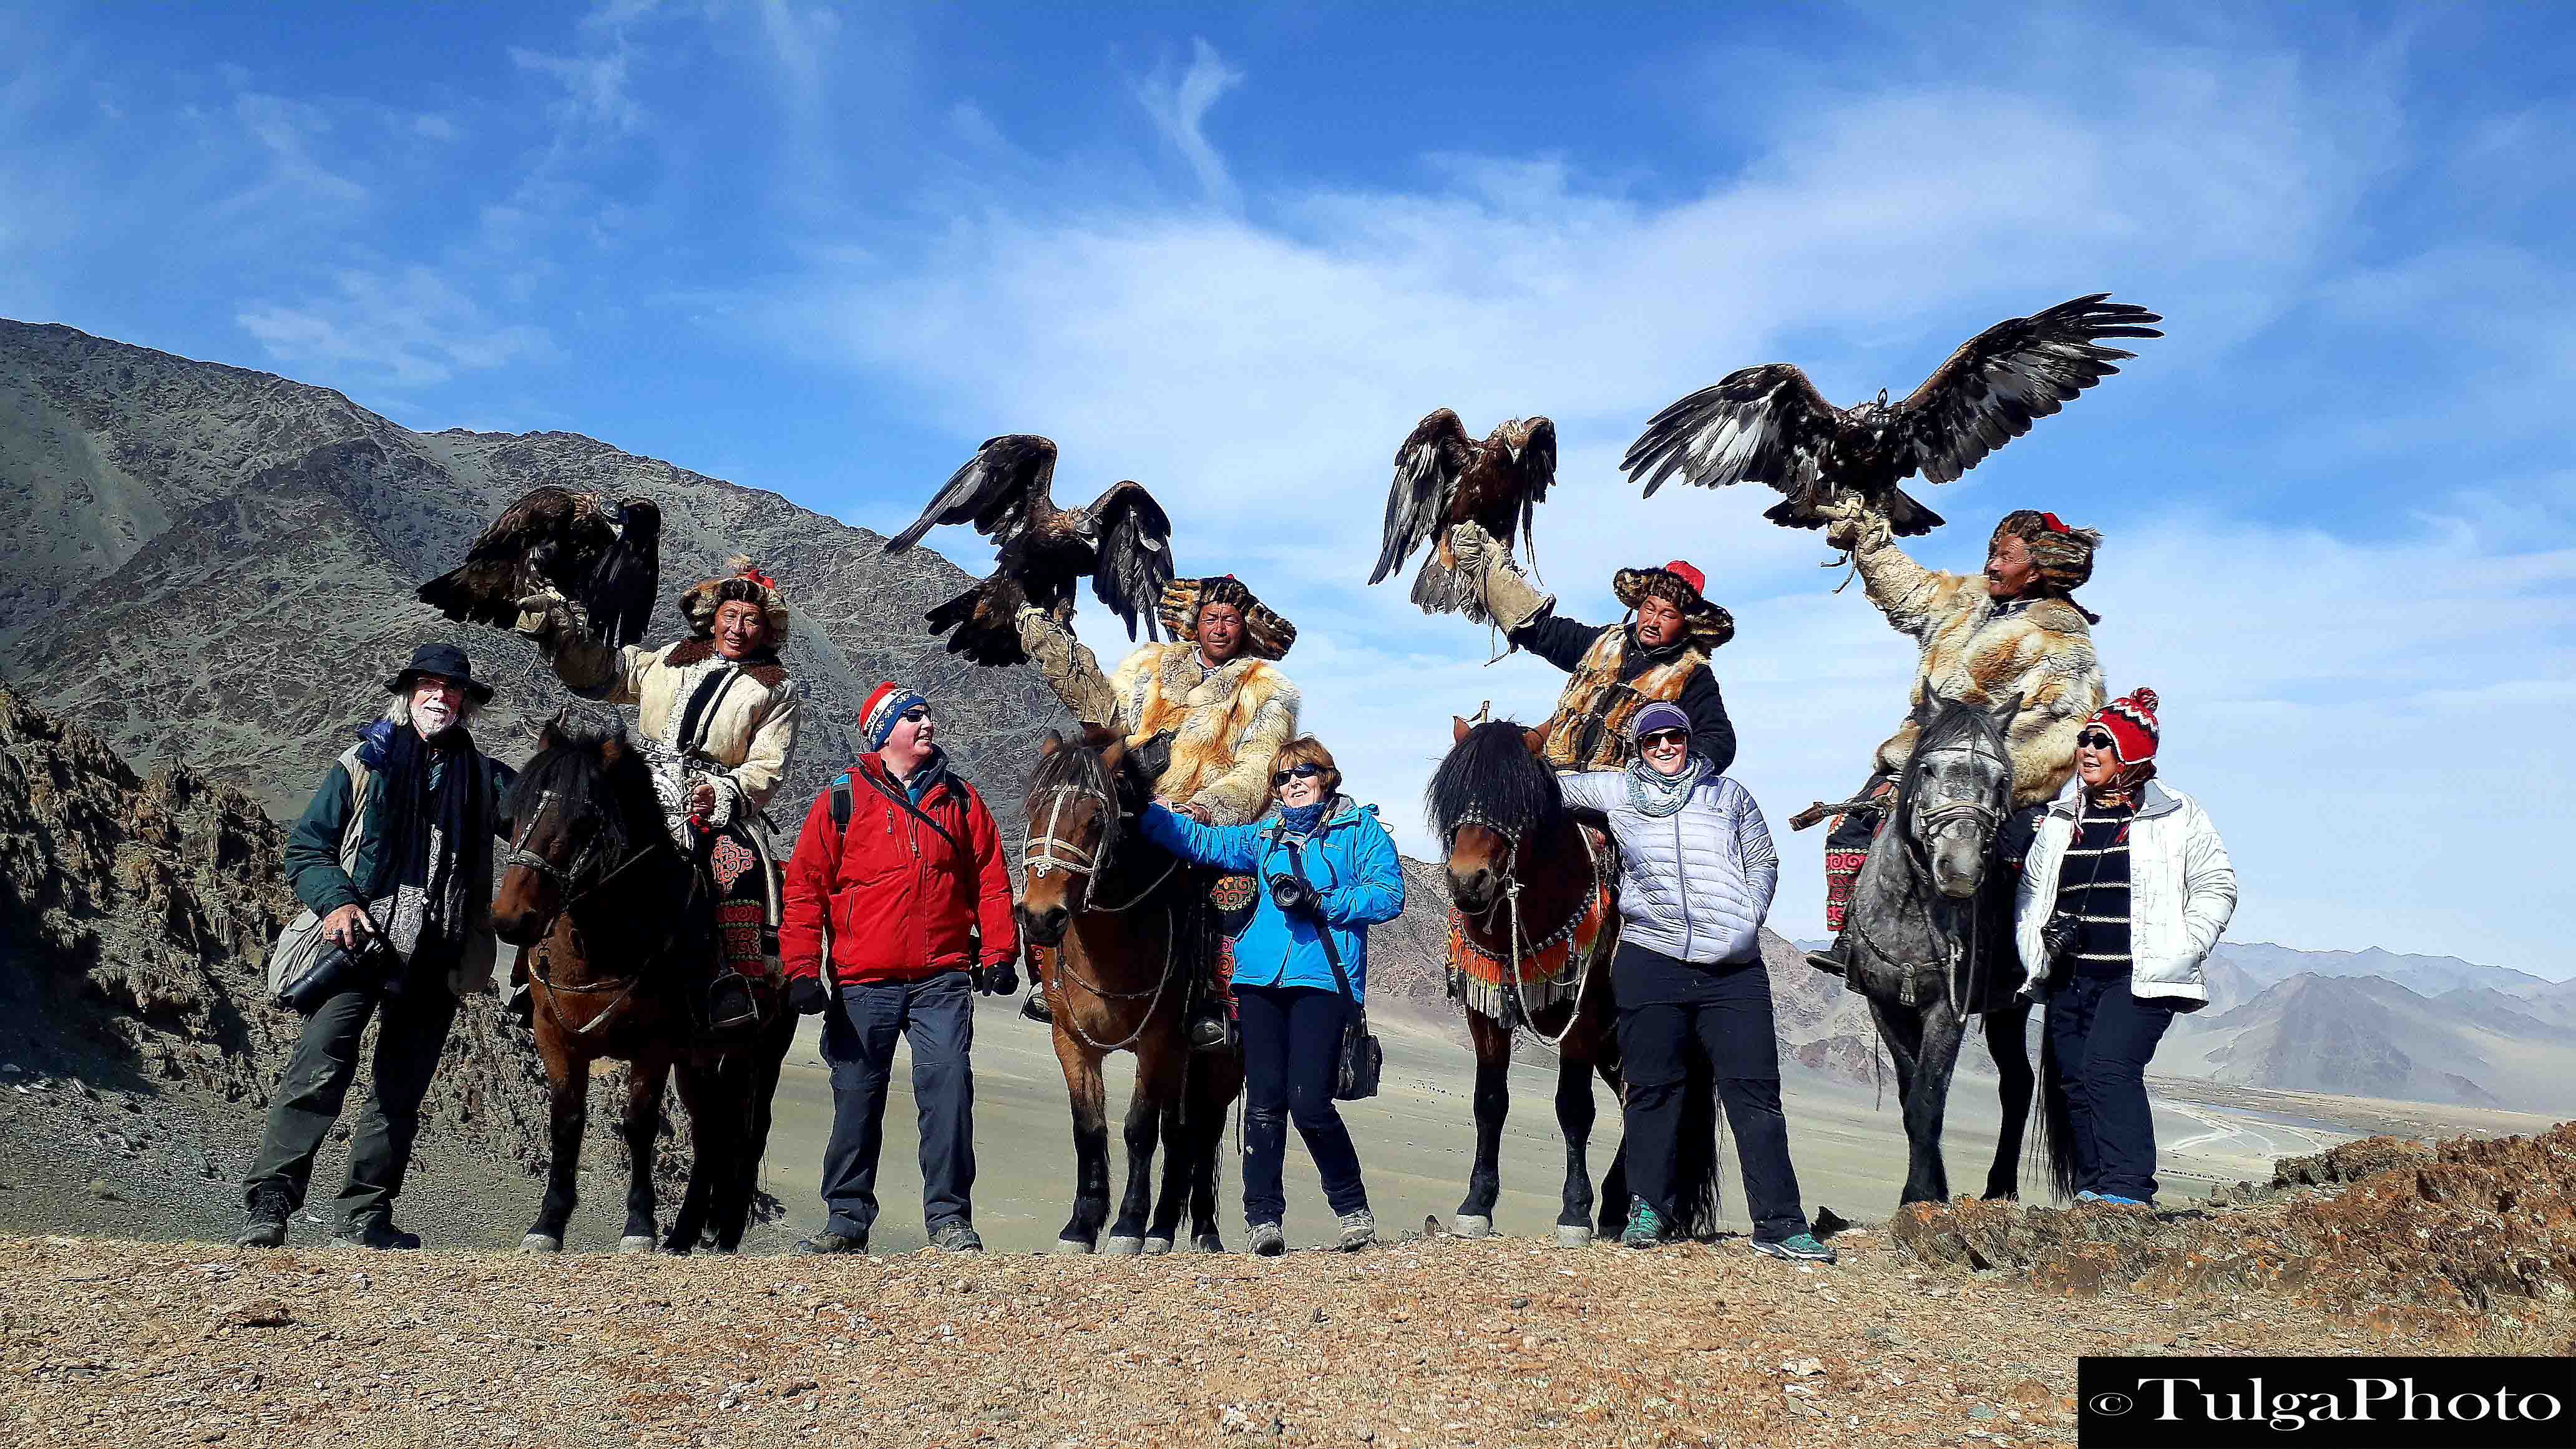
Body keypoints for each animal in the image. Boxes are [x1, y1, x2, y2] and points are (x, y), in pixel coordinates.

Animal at [489, 711, 793, 1252]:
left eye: (584, 821)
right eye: (515, 811)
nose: (511, 919)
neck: (603, 943)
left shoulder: (655, 1046)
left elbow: (639, 1125)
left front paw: (639, 1227)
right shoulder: (554, 1036)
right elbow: (566, 1122)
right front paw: (547, 1225)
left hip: (757, 1052)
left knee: (746, 1132)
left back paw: (723, 1235)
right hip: (700, 1059)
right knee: (710, 1131)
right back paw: (686, 1234)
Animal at [1015, 727, 1236, 1247]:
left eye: (1097, 819)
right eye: (1034, 809)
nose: (1040, 917)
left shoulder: (1157, 1042)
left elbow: (1139, 1128)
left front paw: (1128, 1226)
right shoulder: (1071, 1041)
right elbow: (1089, 1128)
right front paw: (1082, 1225)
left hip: (1220, 1064)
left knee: (1202, 1133)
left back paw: (1201, 1231)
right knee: (1181, 1131)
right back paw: (1164, 1227)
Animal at [1422, 716, 1720, 1242]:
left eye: (1518, 804)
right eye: (1455, 796)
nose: (1468, 882)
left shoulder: (1582, 1016)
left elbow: (1574, 1107)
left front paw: (1575, 1212)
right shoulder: (1486, 1012)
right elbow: (1489, 1101)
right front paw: (1477, 1205)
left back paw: (1622, 1207)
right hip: (1615, 1048)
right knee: (1635, 1103)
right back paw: (1620, 1208)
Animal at [1834, 686, 2071, 1196]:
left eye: (2001, 780)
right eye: (1927, 768)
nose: (1959, 870)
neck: (1910, 913)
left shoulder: (1947, 1009)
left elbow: (1929, 1098)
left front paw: (1920, 1196)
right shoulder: (1884, 1005)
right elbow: (1910, 1094)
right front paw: (1933, 1188)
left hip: (2010, 1007)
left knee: (2016, 1086)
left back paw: (2001, 1186)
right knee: (2017, 1081)